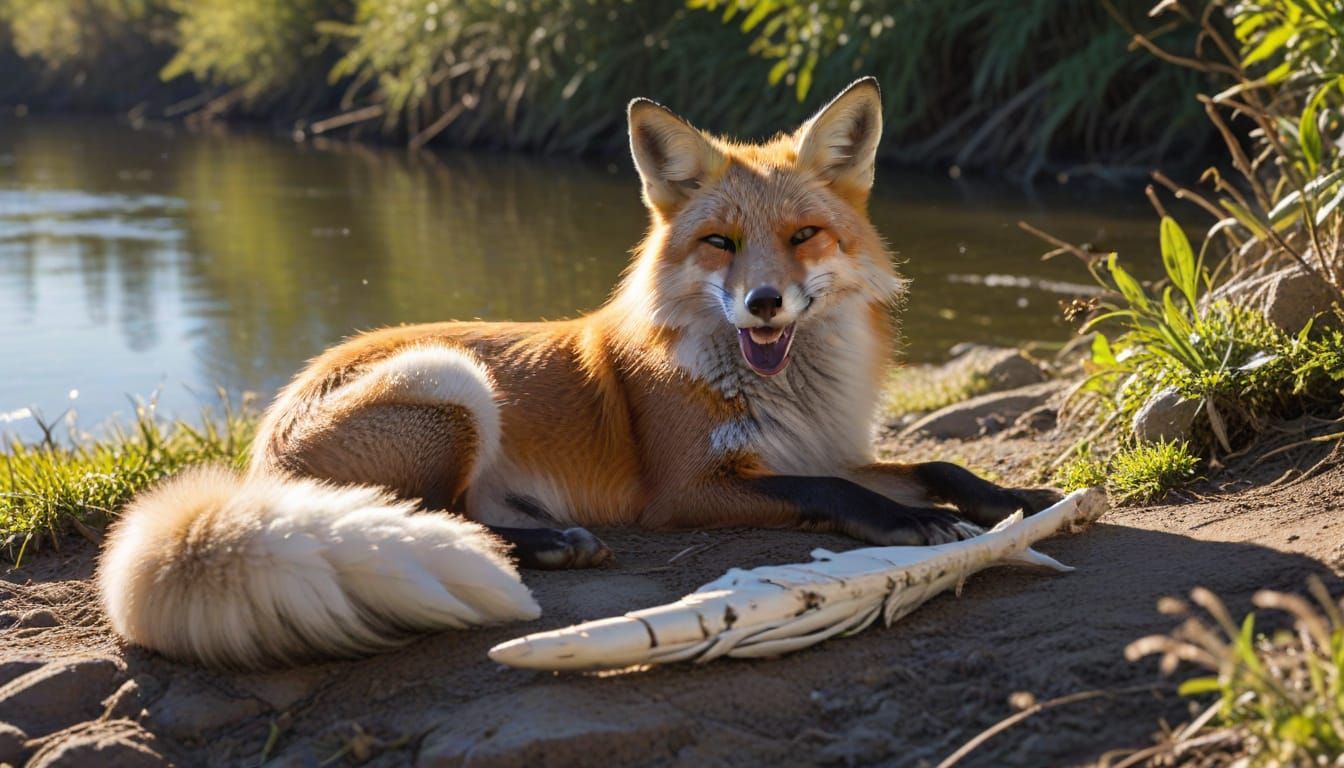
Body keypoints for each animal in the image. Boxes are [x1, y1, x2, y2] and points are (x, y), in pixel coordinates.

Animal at [98, 78, 1059, 669]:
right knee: (433, 519)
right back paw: (552, 545)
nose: (763, 304)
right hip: (454, 384)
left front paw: (1015, 499)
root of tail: (260, 448)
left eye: (803, 237)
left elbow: (932, 463)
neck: (786, 390)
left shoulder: (822, 444)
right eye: (721, 243)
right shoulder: (689, 488)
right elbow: (834, 493)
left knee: (455, 515)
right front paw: (918, 524)